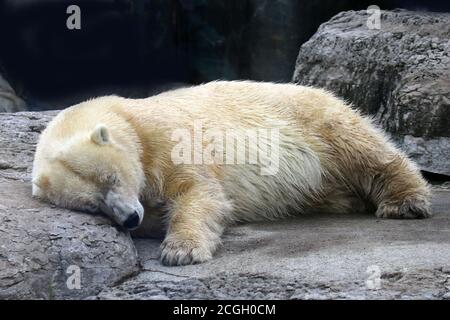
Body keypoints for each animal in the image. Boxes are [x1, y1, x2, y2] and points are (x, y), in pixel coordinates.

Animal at [32, 81, 432, 266]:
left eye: (112, 179)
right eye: (92, 207)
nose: (130, 219)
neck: (124, 116)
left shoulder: (166, 136)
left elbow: (199, 192)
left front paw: (181, 250)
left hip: (312, 119)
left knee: (361, 147)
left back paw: (405, 201)